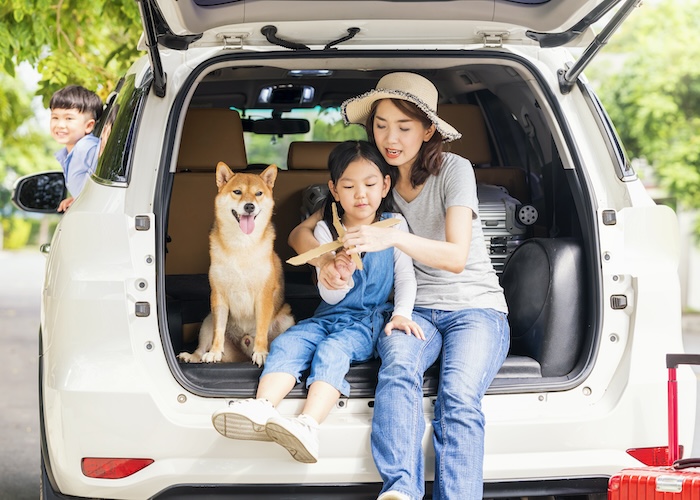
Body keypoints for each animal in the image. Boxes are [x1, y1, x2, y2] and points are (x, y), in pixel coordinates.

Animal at [178, 163, 296, 368]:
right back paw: (194, 356)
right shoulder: (218, 295)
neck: (242, 245)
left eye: (258, 193)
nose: (249, 206)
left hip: (286, 319)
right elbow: (218, 331)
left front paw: (261, 352)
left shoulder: (264, 295)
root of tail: (243, 351)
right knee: (202, 346)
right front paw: (214, 352)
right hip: (208, 320)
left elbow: (262, 329)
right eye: (237, 192)